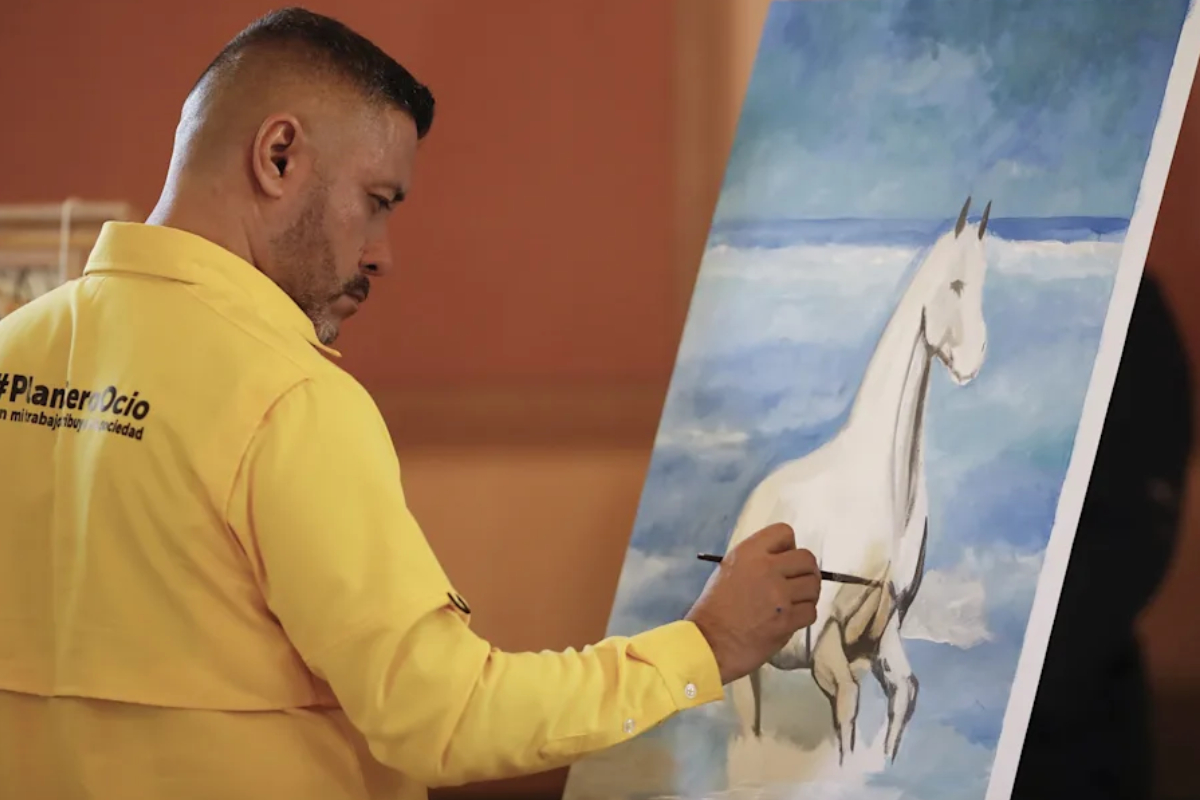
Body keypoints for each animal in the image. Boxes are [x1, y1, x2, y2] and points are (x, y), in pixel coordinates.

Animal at [722, 196, 992, 766]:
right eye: (956, 283)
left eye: (985, 282)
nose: (972, 361)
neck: (885, 492)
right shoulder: (826, 642)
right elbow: (846, 710)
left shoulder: (881, 636)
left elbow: (904, 696)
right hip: (749, 677)